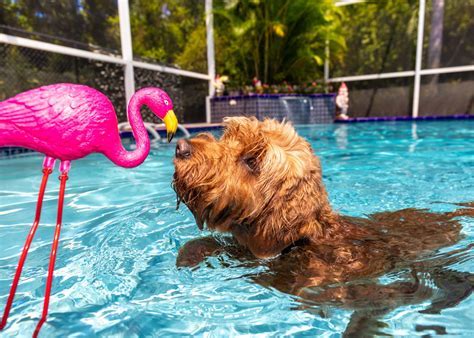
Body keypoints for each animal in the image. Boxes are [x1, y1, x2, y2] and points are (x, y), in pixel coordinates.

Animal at [173, 117, 474, 336]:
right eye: (227, 135)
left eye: (251, 160)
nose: (181, 147)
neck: (306, 241)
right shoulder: (253, 252)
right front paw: (189, 254)